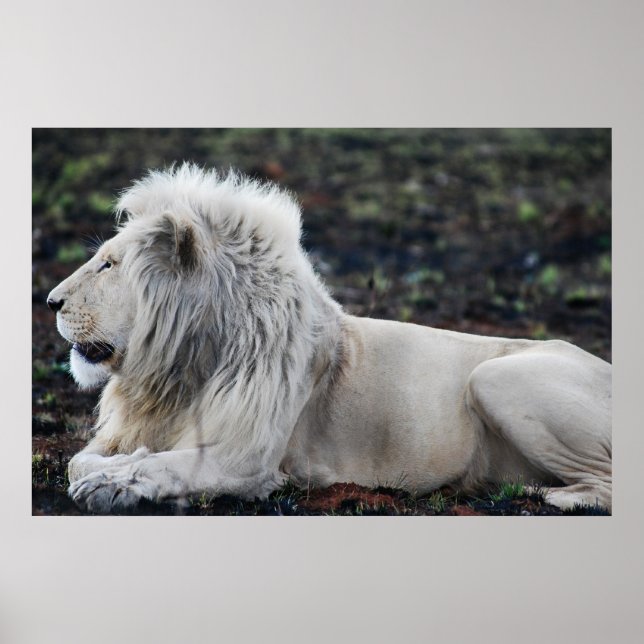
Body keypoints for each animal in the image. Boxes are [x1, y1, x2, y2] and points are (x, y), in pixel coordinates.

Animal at [46, 164, 612, 514]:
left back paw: (542, 495)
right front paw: (105, 473)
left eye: (109, 264)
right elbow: (82, 457)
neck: (180, 366)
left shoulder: (247, 460)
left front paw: (111, 485)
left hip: (493, 377)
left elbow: (168, 464)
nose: (50, 302)